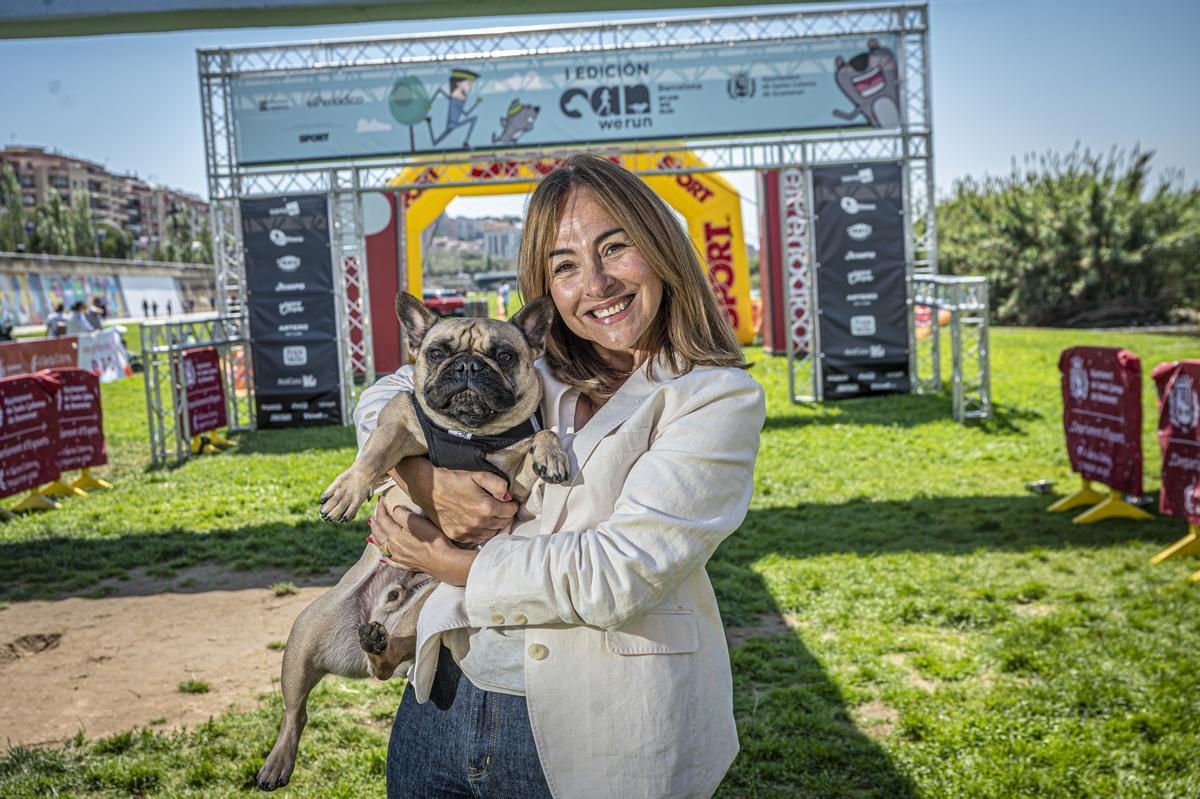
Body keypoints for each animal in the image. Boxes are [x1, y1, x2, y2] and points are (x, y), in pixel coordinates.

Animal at [254, 289, 571, 787]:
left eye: (503, 355)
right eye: (438, 352)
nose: (467, 366)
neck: (469, 434)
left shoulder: (511, 478)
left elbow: (544, 431)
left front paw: (551, 453)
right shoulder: (398, 425)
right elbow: (372, 455)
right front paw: (346, 492)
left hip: (419, 615)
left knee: (385, 666)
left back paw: (378, 645)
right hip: (303, 637)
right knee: (294, 712)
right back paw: (278, 760)